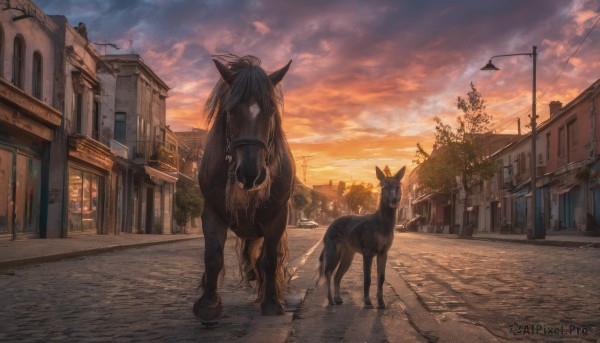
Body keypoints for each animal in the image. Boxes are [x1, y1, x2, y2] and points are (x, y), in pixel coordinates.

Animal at [193, 54, 294, 326]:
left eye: (271, 111)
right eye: (230, 110)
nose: (250, 173)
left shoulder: (277, 218)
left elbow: (270, 259)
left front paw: (272, 302)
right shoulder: (212, 212)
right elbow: (213, 257)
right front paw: (208, 305)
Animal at [316, 167, 406, 310]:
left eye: (398, 186)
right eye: (384, 186)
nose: (394, 200)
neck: (382, 226)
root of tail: (328, 227)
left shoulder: (384, 251)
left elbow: (381, 277)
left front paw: (381, 303)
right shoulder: (367, 249)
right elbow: (367, 278)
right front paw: (368, 302)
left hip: (348, 253)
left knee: (337, 274)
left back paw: (338, 298)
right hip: (332, 249)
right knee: (328, 272)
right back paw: (330, 300)